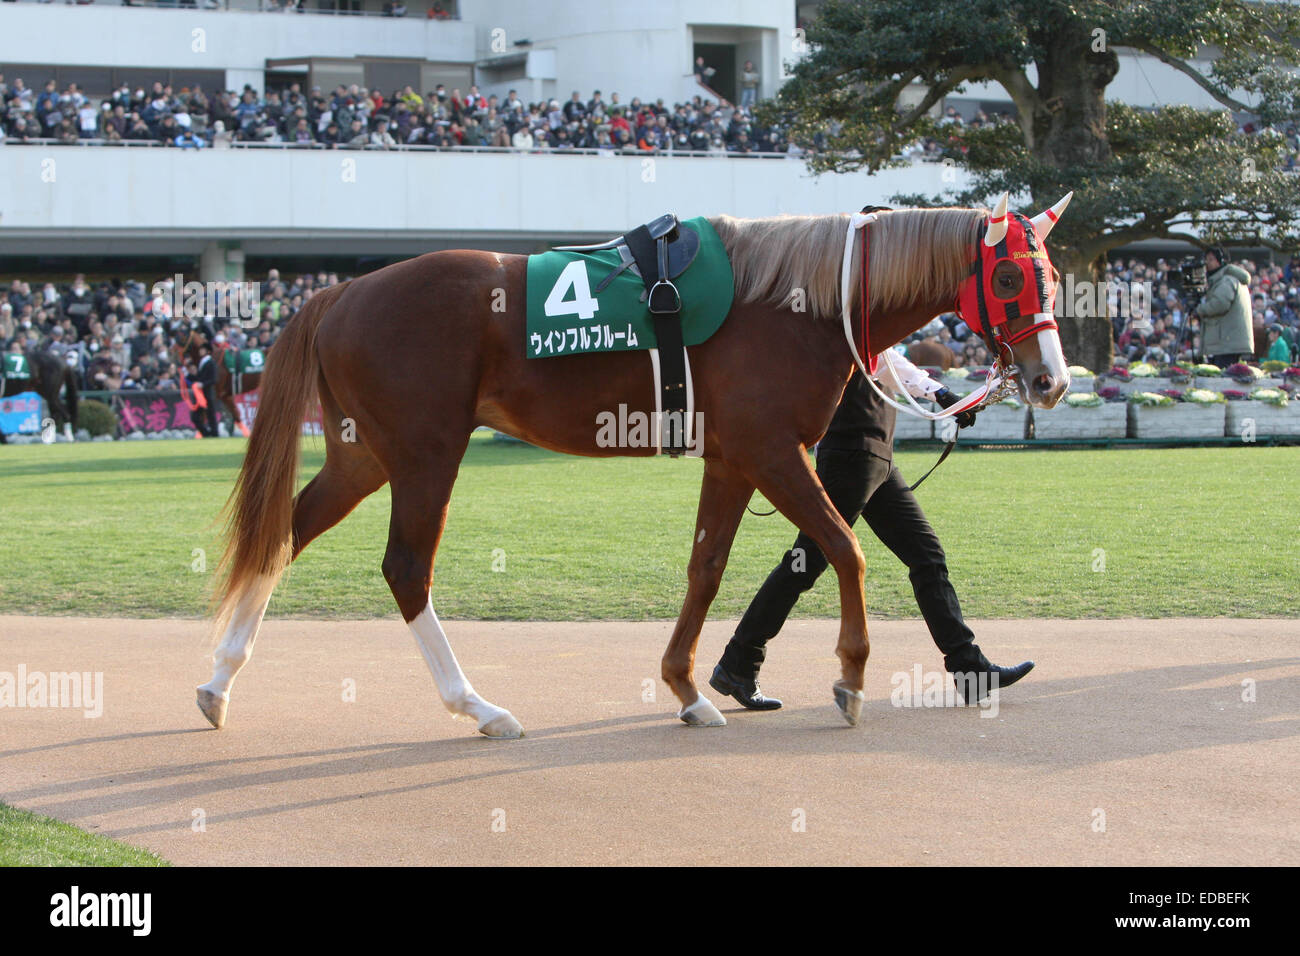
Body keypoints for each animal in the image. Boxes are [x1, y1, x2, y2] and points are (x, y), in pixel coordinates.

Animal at [197, 193, 1074, 737]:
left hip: (363, 454)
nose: (1051, 381)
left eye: (1055, 276)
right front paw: (851, 678)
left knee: (284, 533)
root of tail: (337, 294)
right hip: (424, 453)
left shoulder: (733, 459)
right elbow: (844, 547)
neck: (792, 297)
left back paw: (218, 682)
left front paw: (689, 688)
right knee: (407, 569)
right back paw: (476, 706)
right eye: (1006, 276)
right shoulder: (772, 450)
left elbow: (707, 570)